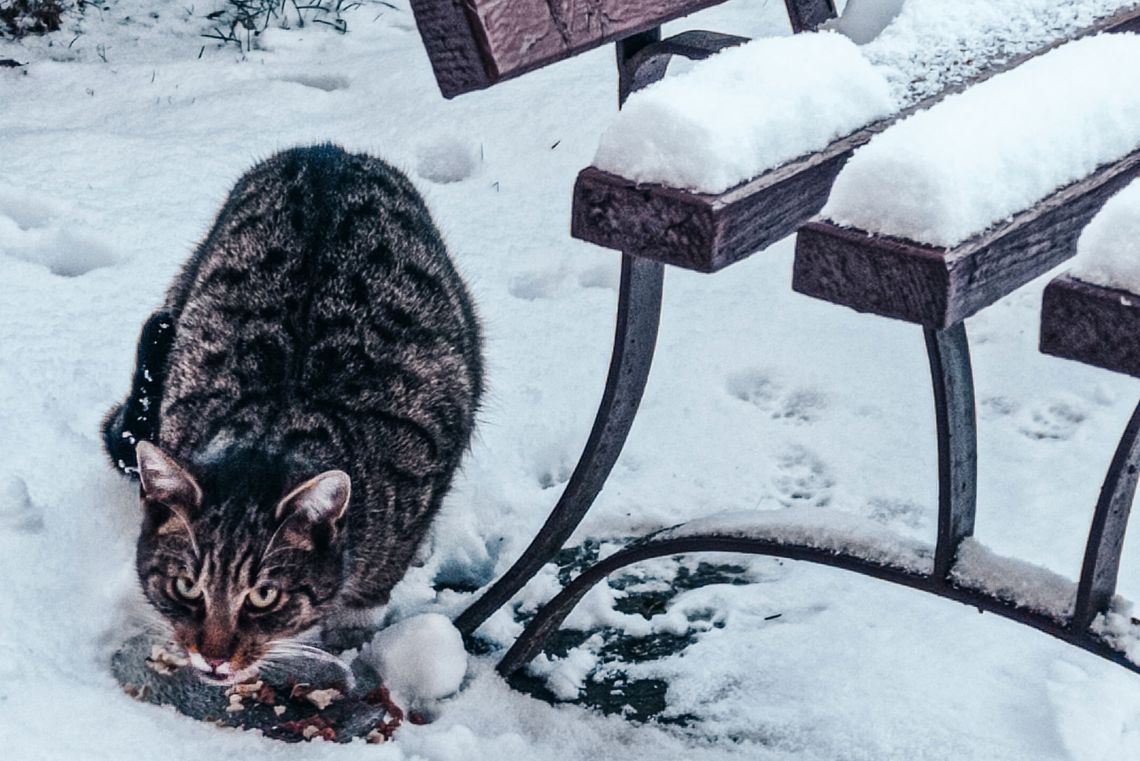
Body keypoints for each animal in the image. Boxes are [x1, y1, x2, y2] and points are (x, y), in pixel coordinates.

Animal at [100, 142, 483, 683]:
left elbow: (370, 590)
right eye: (186, 588)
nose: (213, 657)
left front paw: (349, 640)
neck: (276, 426)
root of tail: (327, 151)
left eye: (264, 596)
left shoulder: (429, 446)